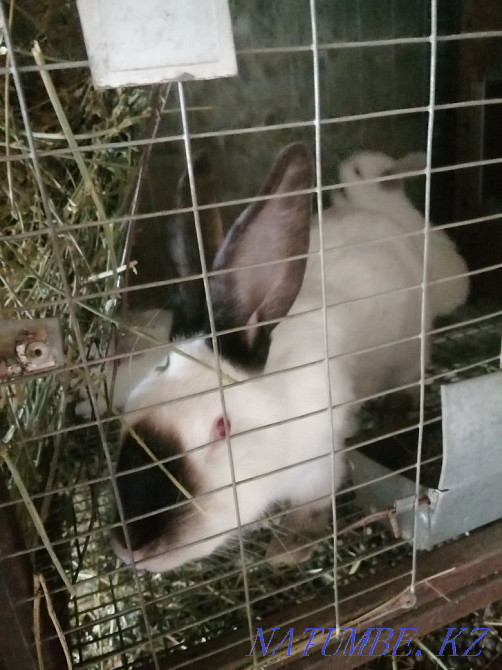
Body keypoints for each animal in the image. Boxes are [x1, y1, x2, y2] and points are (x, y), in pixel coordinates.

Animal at [111, 143, 429, 573]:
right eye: (129, 413)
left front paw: (286, 551)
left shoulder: (319, 465)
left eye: (222, 428)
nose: (132, 548)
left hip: (410, 351)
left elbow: (311, 508)